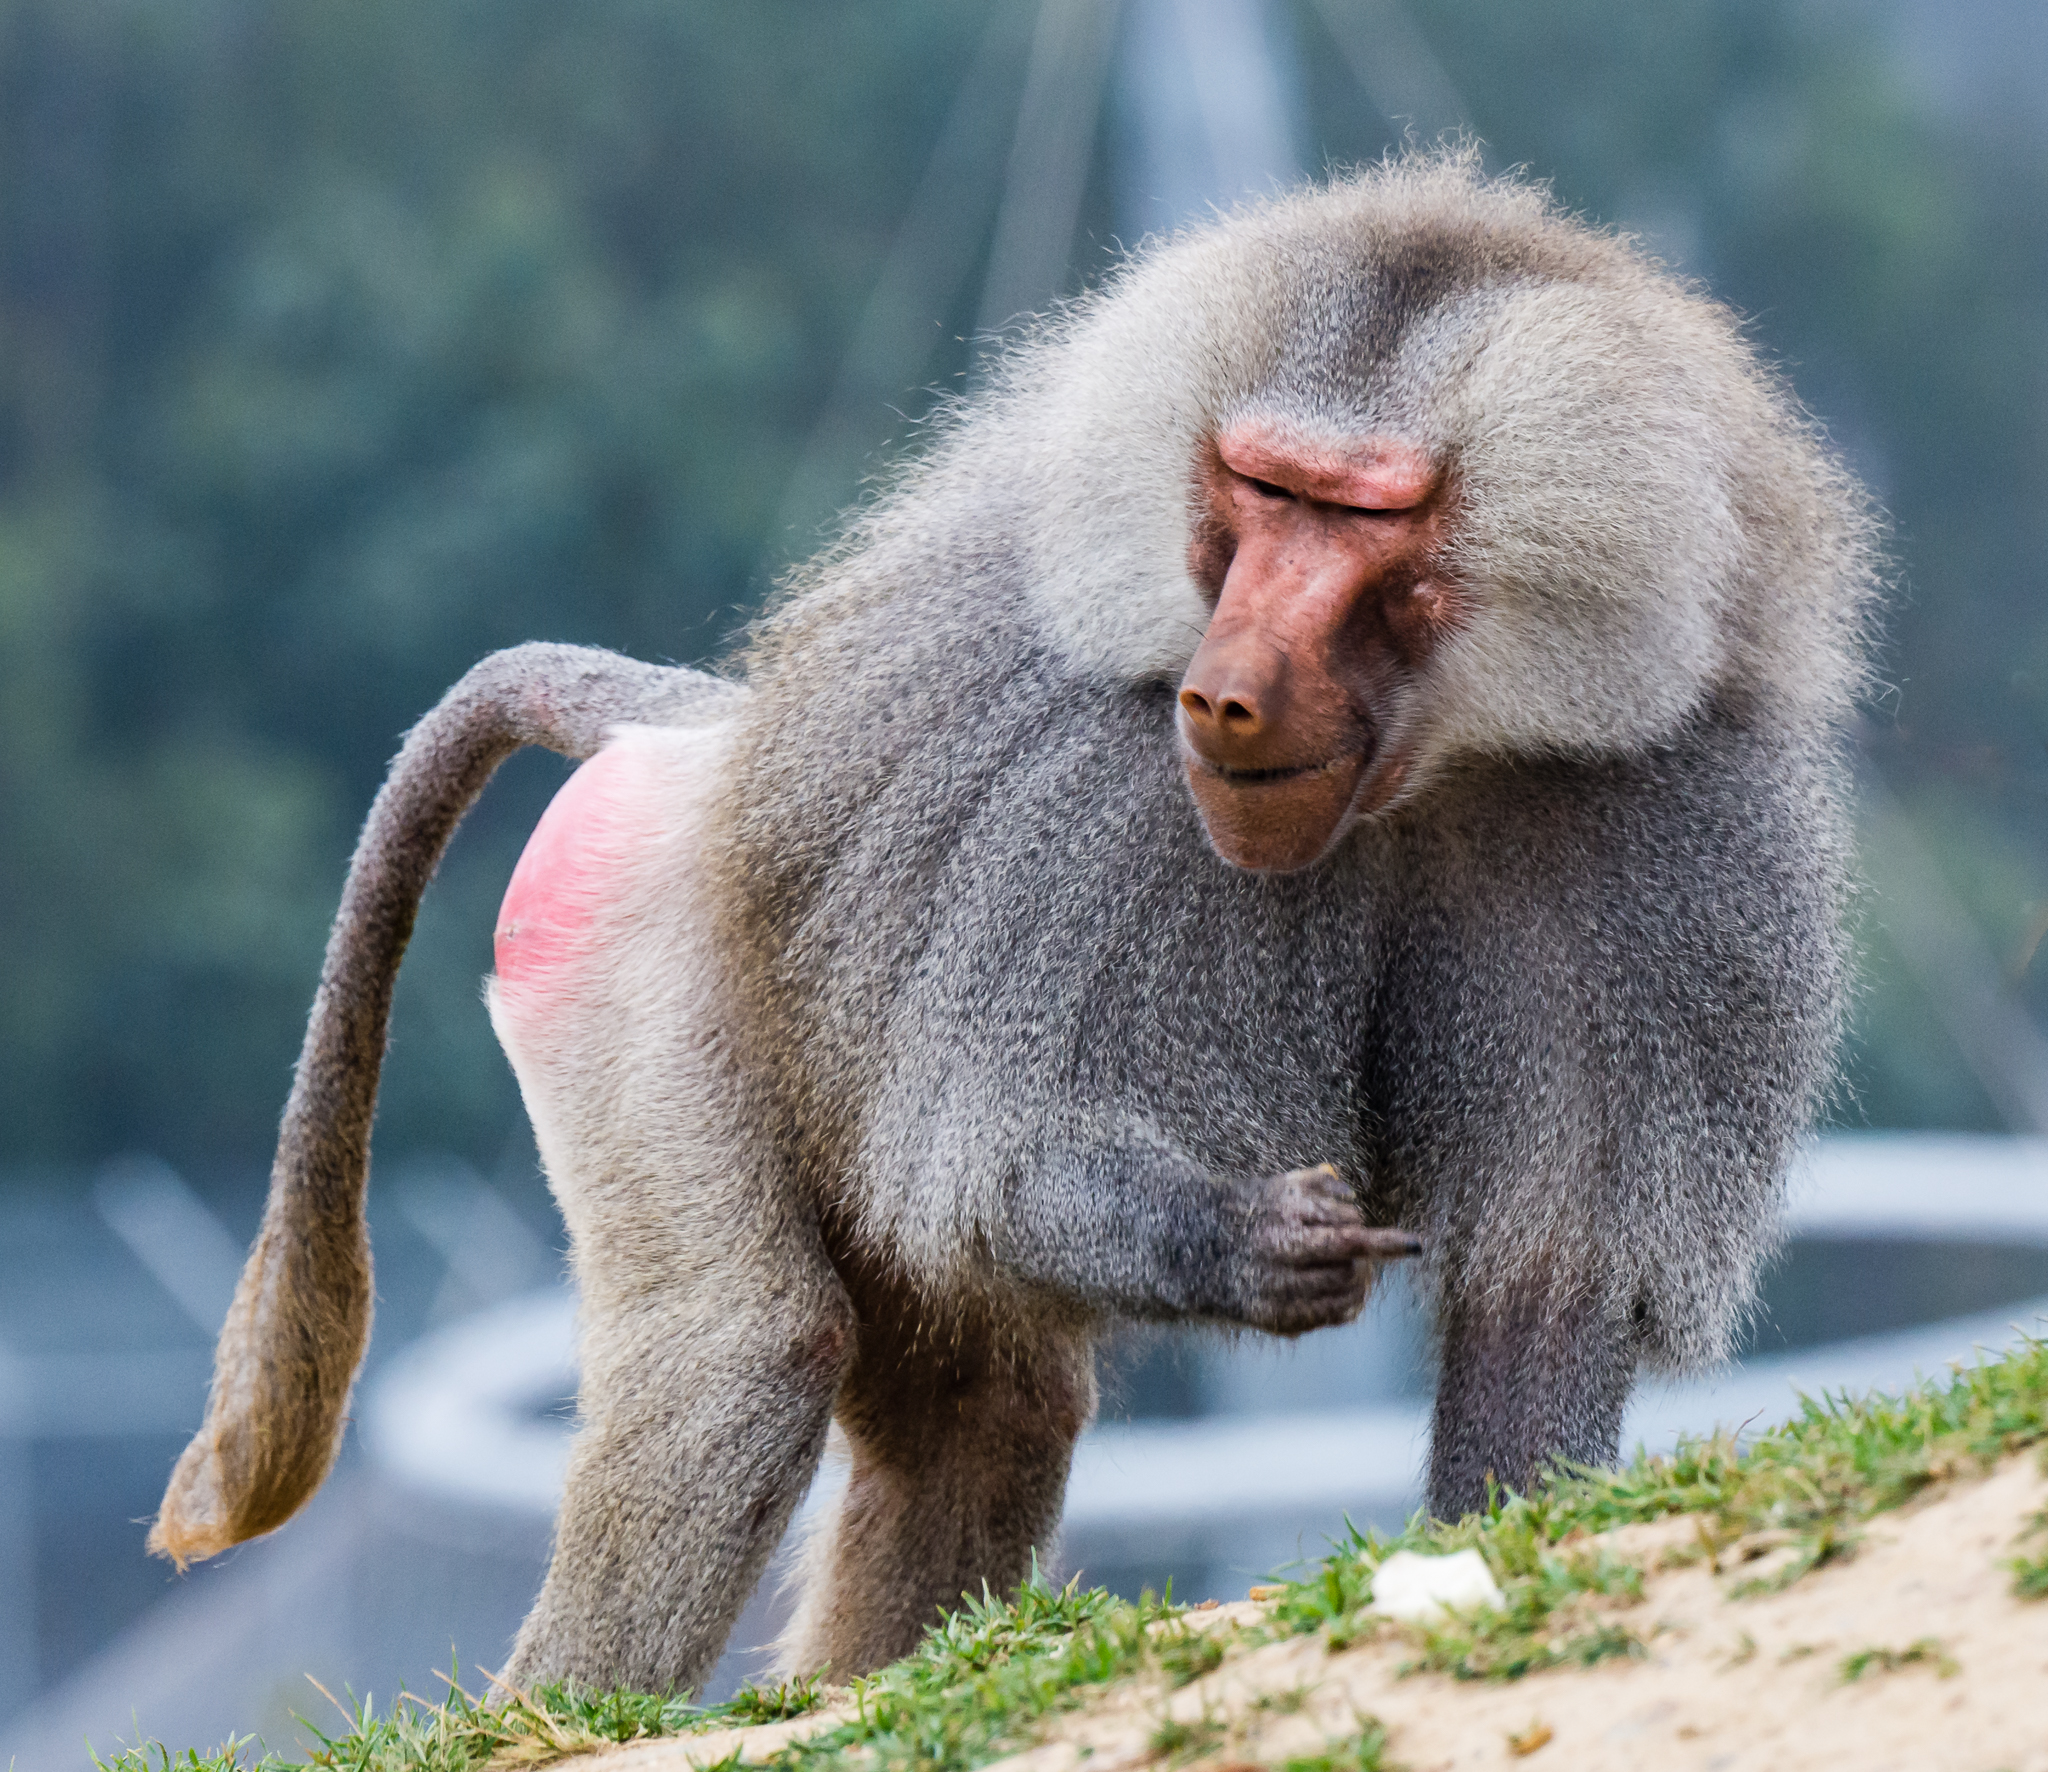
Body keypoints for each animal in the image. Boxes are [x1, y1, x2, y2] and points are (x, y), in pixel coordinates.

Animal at [147, 151, 1875, 1697]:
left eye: (1364, 517)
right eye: (1261, 491)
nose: (1223, 696)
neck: (1433, 765)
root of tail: (706, 734)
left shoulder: (1669, 844)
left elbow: (1548, 1292)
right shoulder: (1087, 810)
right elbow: (994, 1167)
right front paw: (1243, 1242)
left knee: (984, 1415)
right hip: (627, 937)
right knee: (739, 1349)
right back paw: (555, 1712)